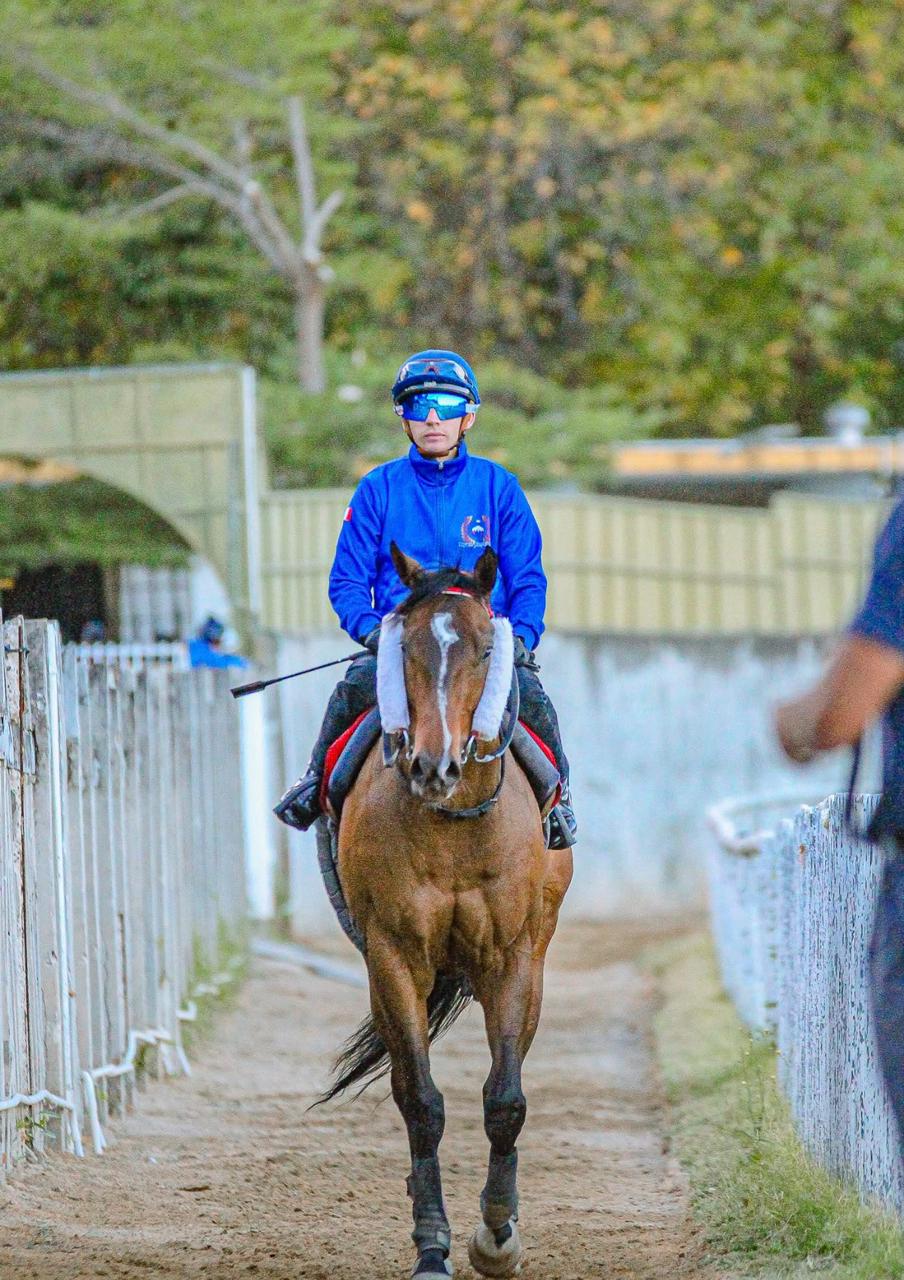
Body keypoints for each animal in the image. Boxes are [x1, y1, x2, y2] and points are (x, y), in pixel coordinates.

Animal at [318, 543, 573, 1280]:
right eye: (405, 649)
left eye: (487, 647)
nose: (434, 765)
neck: (453, 823)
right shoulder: (392, 955)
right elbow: (421, 1102)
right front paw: (433, 1245)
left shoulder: (513, 957)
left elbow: (505, 1100)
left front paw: (497, 1235)